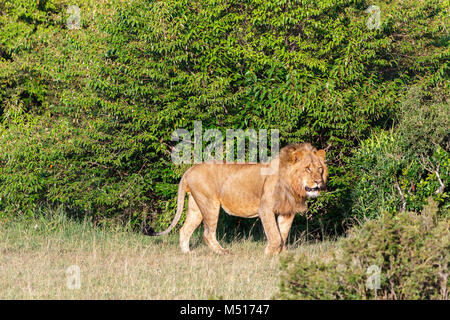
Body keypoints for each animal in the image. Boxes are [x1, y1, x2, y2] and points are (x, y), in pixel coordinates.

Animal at [144, 142, 326, 255]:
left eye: (320, 169)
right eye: (307, 169)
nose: (318, 182)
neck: (292, 185)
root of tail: (190, 169)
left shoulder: (287, 211)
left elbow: (283, 233)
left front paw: (280, 254)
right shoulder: (265, 208)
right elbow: (274, 234)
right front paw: (269, 253)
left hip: (196, 206)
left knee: (184, 229)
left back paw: (187, 253)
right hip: (210, 204)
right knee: (208, 233)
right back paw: (222, 252)